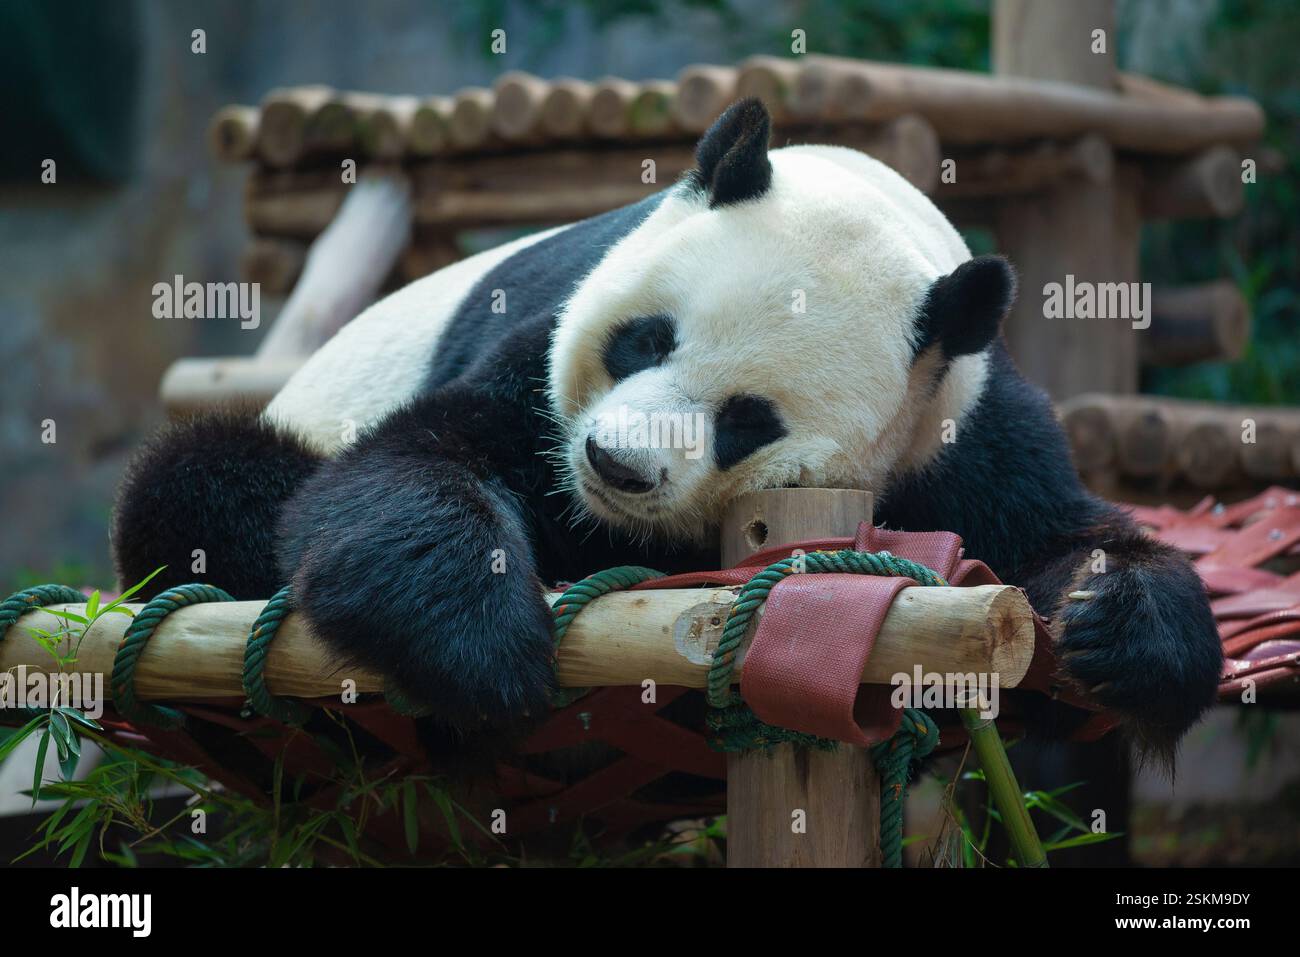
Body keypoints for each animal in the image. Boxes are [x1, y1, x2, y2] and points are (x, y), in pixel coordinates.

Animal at [112, 99, 1222, 758]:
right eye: (644, 339)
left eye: (746, 421)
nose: (615, 465)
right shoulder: (539, 361)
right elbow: (410, 467)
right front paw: (483, 645)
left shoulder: (958, 419)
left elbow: (1056, 530)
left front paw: (1122, 622)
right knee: (204, 479)